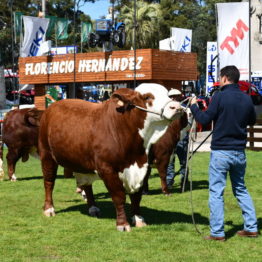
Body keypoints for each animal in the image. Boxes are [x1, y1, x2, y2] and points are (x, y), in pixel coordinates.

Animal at [39, 84, 183, 231]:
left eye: (168, 95)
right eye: (147, 97)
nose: (176, 107)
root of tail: (52, 107)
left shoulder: (144, 167)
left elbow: (136, 197)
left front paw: (138, 219)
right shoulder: (108, 169)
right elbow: (119, 196)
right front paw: (122, 224)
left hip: (81, 162)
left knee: (86, 185)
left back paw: (93, 208)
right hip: (47, 155)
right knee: (49, 182)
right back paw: (49, 209)